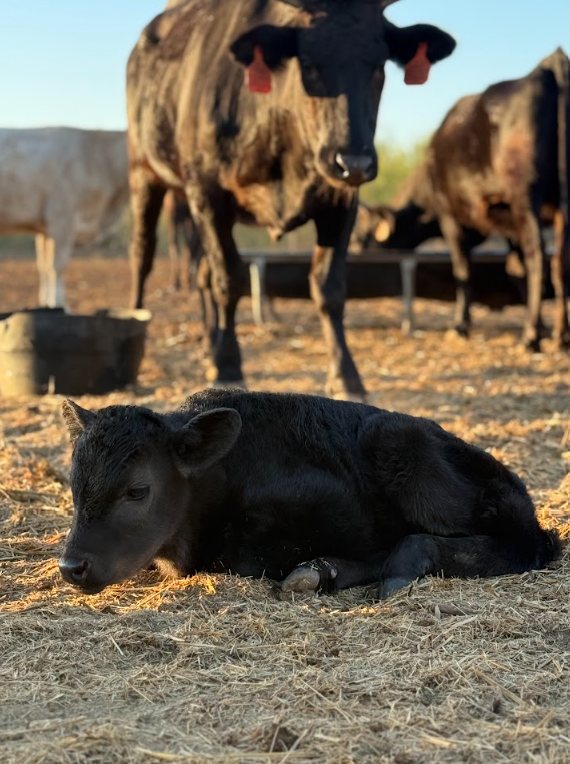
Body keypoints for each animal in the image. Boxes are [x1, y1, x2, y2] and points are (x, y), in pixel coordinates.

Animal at [0, 128, 129, 309]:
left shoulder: (44, 230)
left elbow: (44, 266)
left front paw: (45, 303)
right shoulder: (62, 220)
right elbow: (58, 266)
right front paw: (59, 304)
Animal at [126, 0, 456, 398]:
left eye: (379, 65)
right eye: (309, 63)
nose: (354, 163)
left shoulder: (340, 202)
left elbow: (329, 287)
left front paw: (346, 376)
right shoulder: (207, 192)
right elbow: (229, 279)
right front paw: (229, 367)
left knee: (201, 271)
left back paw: (209, 343)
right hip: (145, 172)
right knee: (143, 255)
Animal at [355, 49, 570, 350]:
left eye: (363, 234)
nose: (353, 249)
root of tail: (550, 63)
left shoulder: (450, 217)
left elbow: (463, 269)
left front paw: (460, 326)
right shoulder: (507, 225)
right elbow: (516, 269)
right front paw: (541, 324)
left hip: (527, 199)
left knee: (539, 258)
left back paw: (530, 338)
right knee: (561, 263)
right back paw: (561, 335)